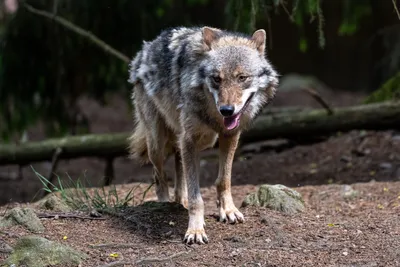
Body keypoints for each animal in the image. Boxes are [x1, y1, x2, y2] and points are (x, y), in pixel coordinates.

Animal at [128, 26, 278, 246]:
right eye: (217, 79)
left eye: (242, 78)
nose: (227, 110)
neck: (213, 116)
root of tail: (144, 50)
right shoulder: (189, 140)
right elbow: (196, 197)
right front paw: (195, 230)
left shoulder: (230, 135)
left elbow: (223, 180)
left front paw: (228, 210)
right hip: (157, 144)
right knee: (159, 176)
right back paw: (165, 204)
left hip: (187, 142)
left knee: (179, 173)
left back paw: (178, 202)